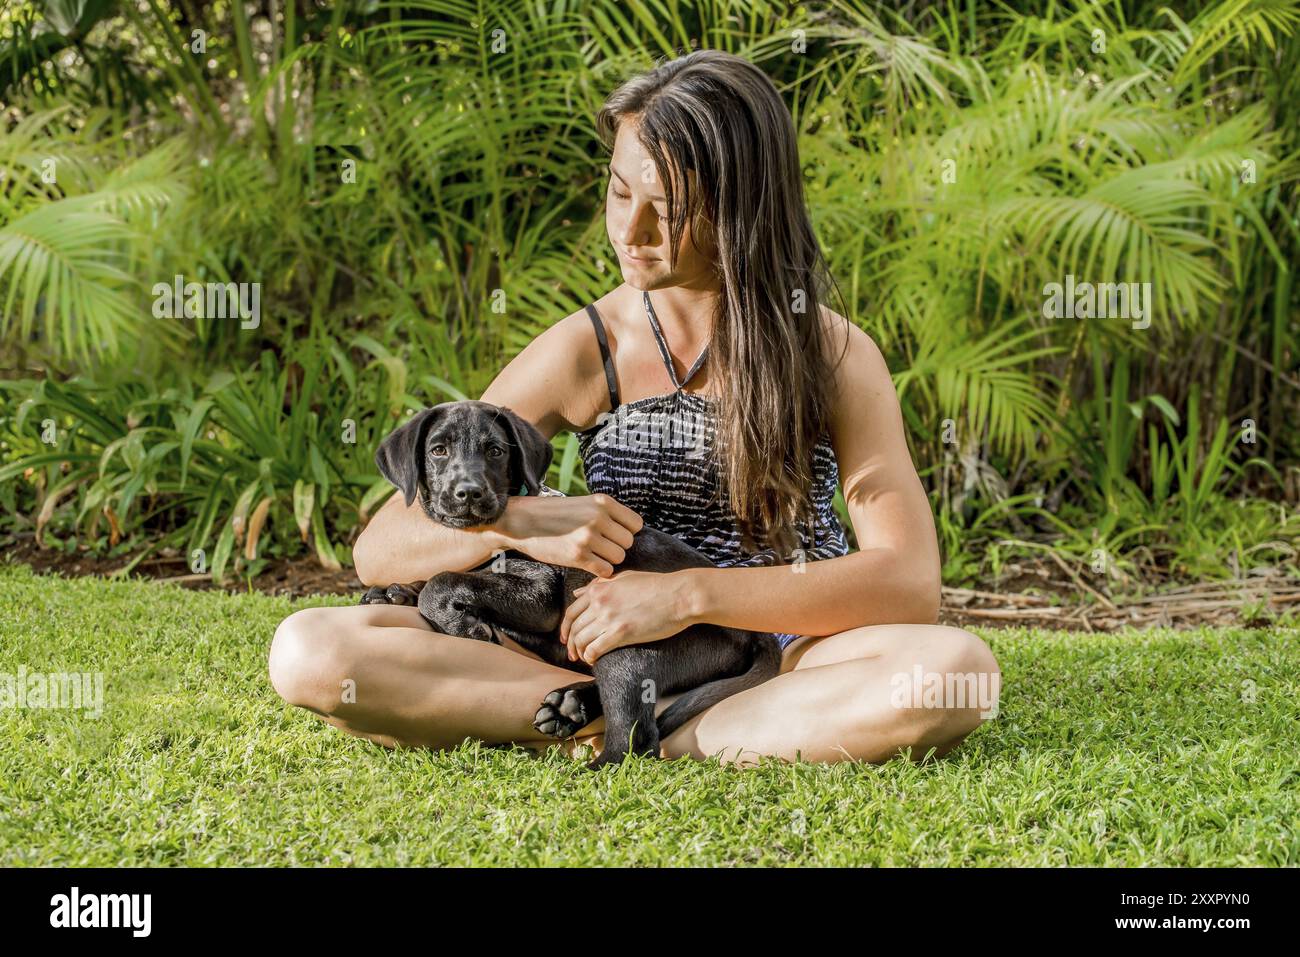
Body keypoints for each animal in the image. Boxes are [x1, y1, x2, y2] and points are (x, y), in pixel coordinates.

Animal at [358, 400, 780, 764]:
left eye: (495, 451)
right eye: (438, 450)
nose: (469, 493)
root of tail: (753, 633)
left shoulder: (541, 593)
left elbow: (444, 579)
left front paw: (462, 624)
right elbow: (443, 575)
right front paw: (392, 592)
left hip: (628, 643)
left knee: (636, 738)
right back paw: (569, 706)